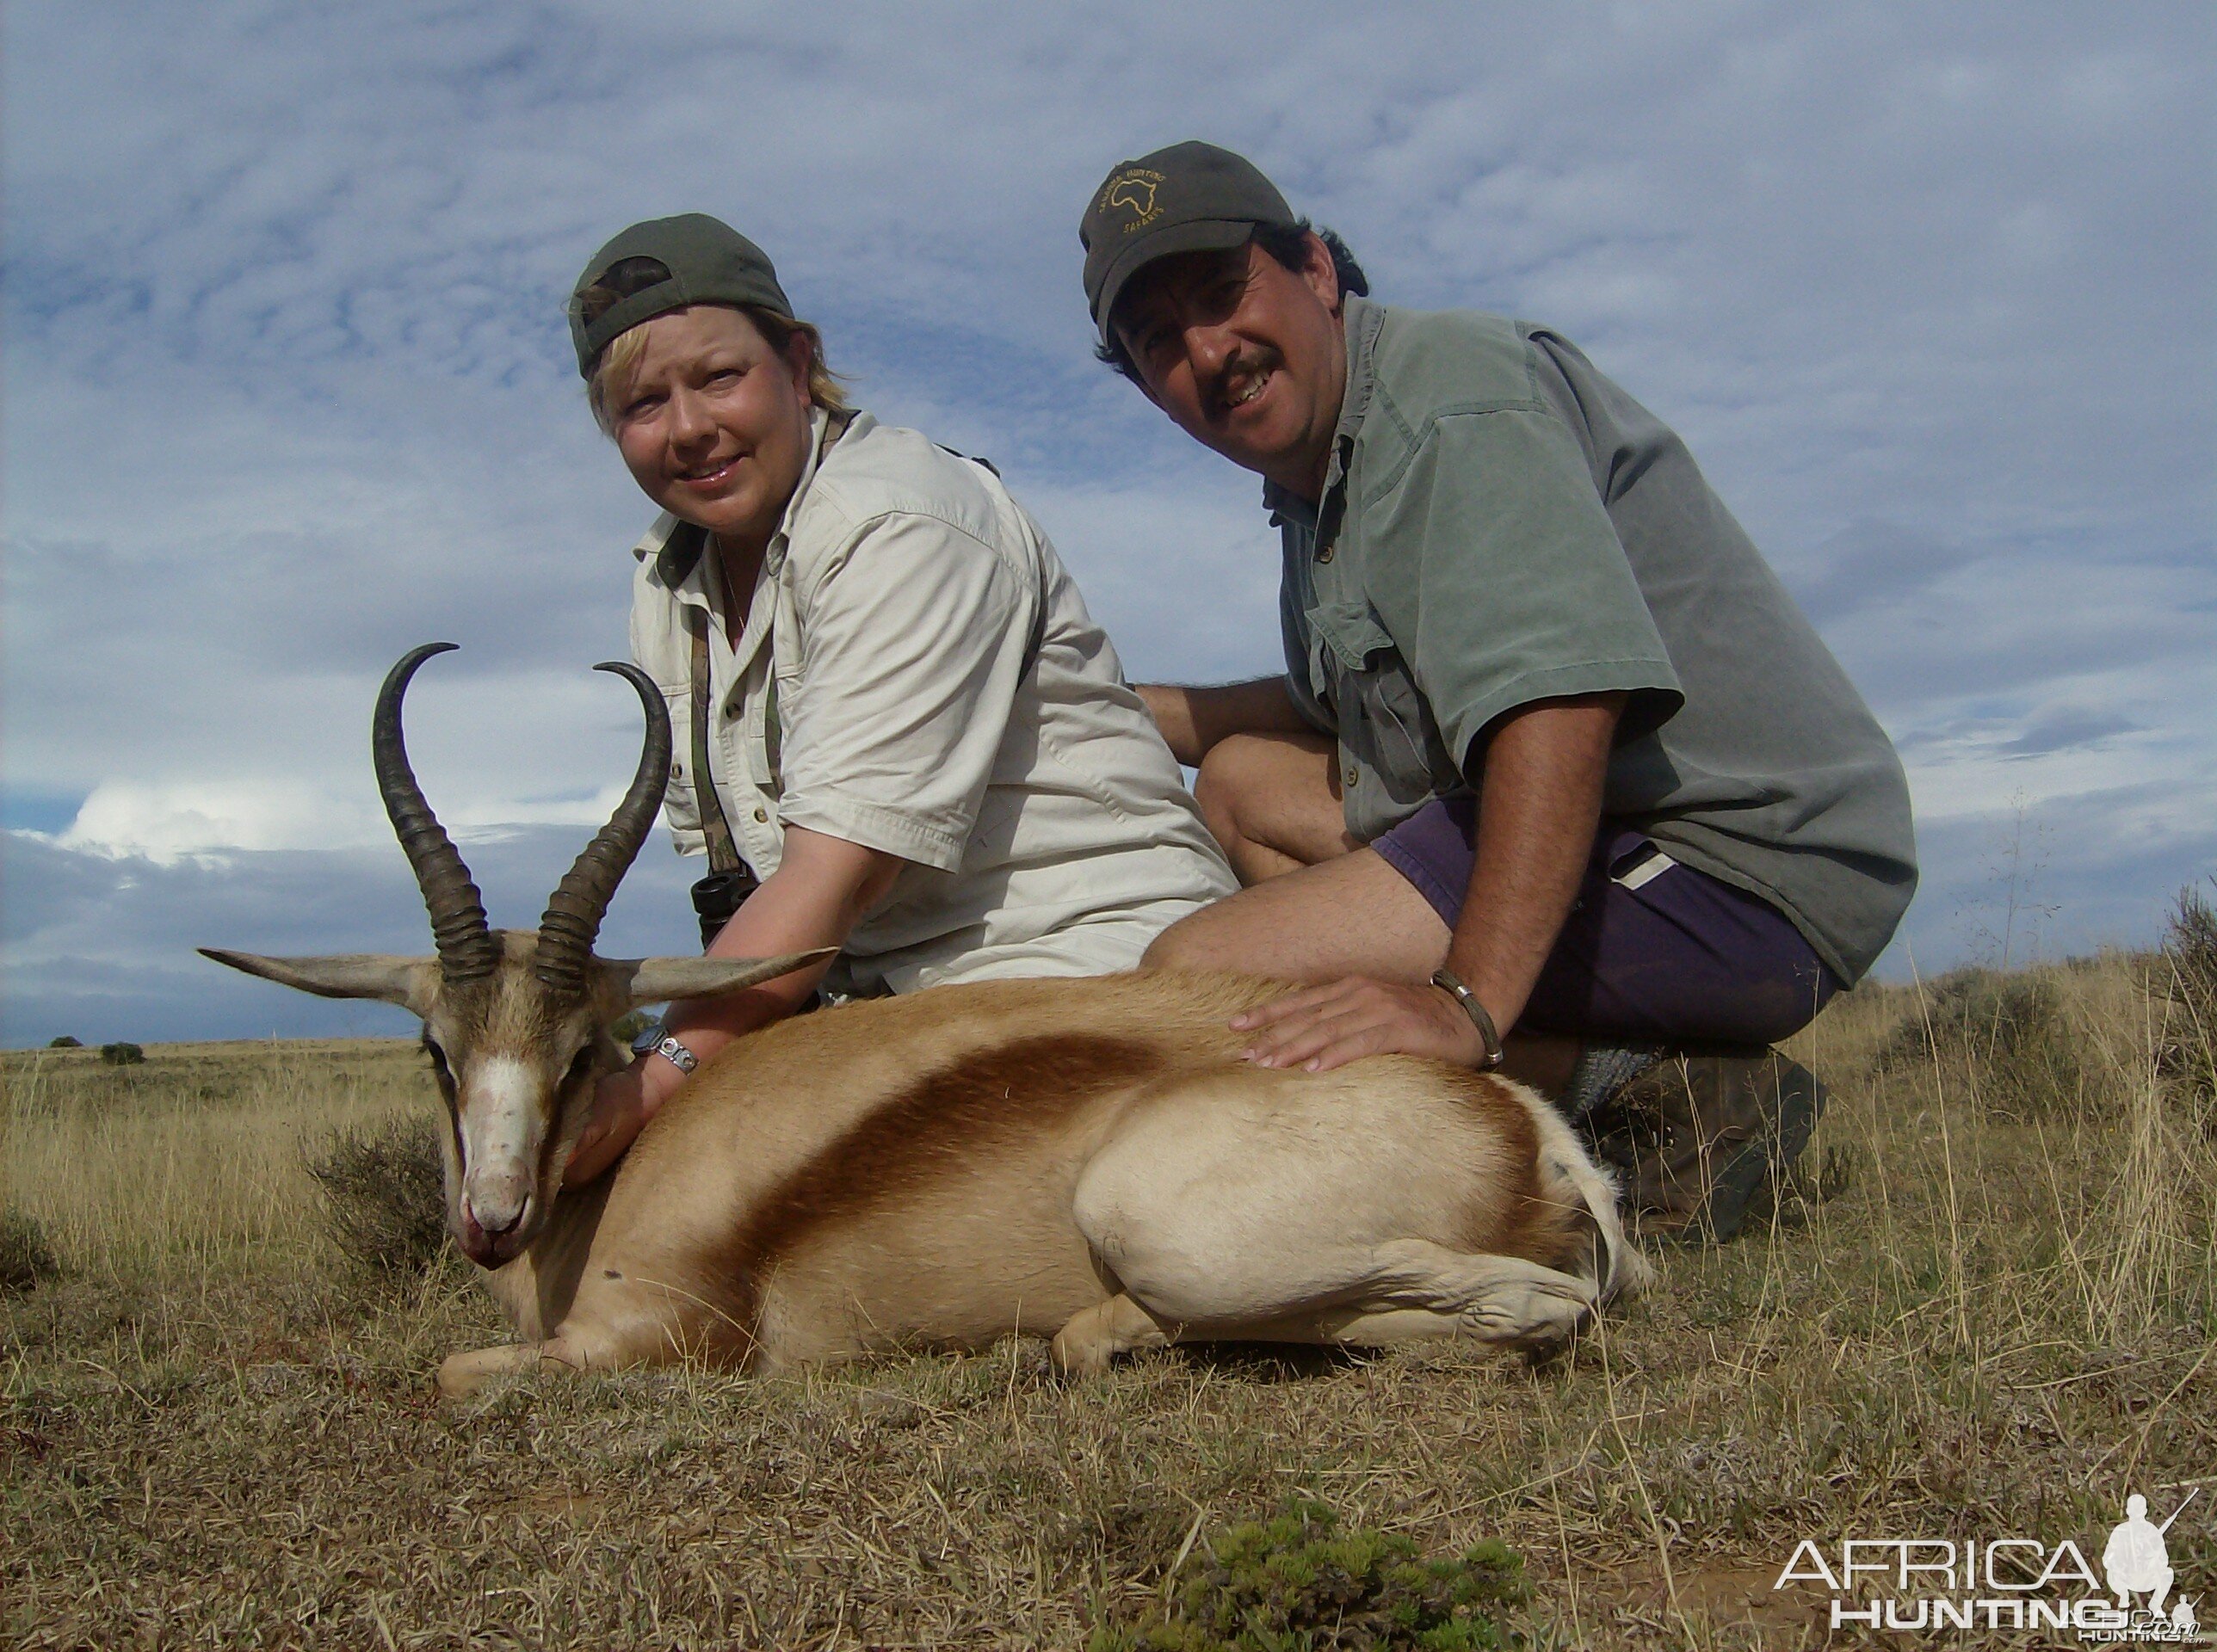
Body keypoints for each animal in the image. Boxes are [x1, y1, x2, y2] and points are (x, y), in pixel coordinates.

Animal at [208, 643, 1649, 1392]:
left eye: (581, 1056)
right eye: (436, 1052)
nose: (490, 1220)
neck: (609, 1187)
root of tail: (1517, 1120)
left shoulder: (664, 1341)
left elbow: (455, 1375)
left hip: (1161, 1224)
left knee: (1534, 1309)